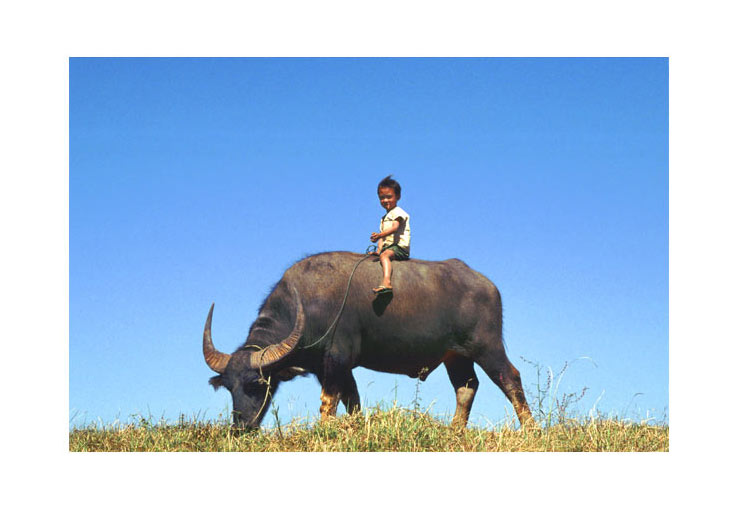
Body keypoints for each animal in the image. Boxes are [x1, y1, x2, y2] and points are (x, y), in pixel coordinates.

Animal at [204, 251, 532, 430]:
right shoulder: (334, 368)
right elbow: (353, 402)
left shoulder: (336, 360)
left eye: (257, 384)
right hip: (456, 356)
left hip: (486, 346)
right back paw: (455, 430)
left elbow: (328, 403)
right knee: (466, 387)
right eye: (229, 388)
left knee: (510, 378)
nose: (241, 427)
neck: (307, 305)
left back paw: (530, 428)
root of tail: (487, 285)